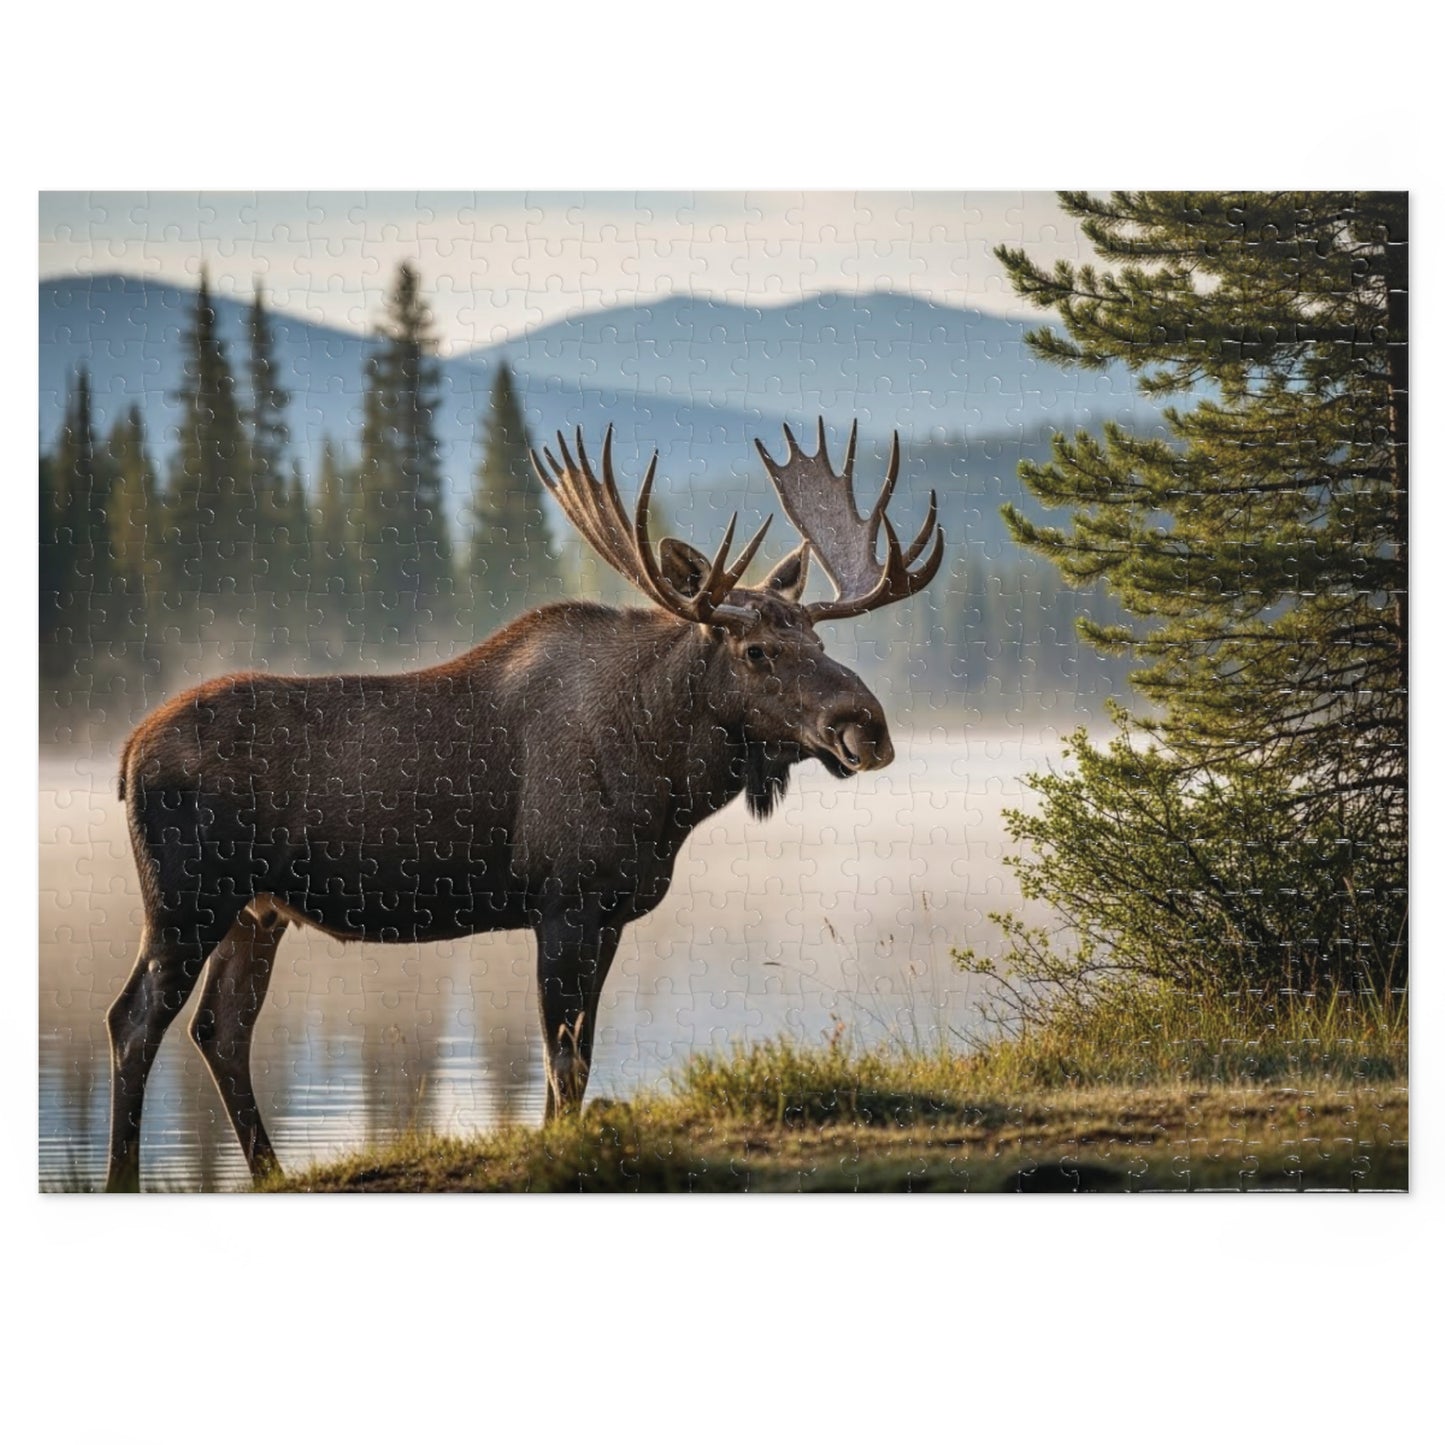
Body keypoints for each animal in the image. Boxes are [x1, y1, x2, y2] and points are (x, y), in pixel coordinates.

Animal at [104, 420, 944, 1190]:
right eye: (756, 651)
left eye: (818, 641)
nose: (866, 726)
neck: (665, 780)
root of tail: (128, 749)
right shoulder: (563, 901)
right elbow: (560, 1056)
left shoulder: (609, 913)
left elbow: (580, 1054)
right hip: (186, 899)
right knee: (134, 1019)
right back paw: (122, 1178)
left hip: (258, 908)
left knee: (221, 1027)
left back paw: (271, 1171)